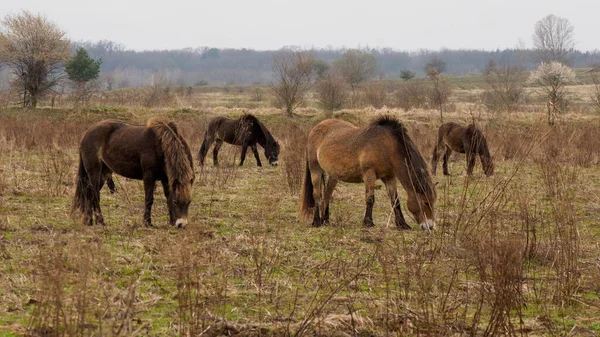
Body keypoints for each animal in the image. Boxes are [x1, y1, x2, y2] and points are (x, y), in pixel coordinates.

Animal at [298, 115, 436, 228]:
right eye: (425, 202)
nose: (430, 226)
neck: (386, 146)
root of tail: (314, 129)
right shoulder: (369, 174)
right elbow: (370, 198)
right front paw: (368, 222)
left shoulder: (390, 177)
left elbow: (395, 200)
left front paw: (402, 224)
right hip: (315, 170)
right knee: (317, 195)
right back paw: (316, 221)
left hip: (334, 175)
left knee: (327, 195)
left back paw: (325, 220)